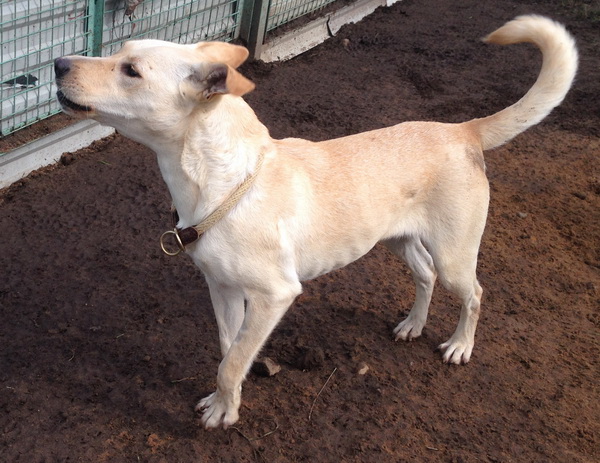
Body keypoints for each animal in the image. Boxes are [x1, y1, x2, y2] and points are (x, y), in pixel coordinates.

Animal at [54, 15, 577, 428]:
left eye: (131, 70)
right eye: (119, 52)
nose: (57, 63)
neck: (224, 183)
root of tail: (463, 130)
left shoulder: (275, 295)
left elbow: (232, 362)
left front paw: (223, 413)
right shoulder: (221, 288)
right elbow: (228, 349)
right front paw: (228, 399)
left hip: (455, 254)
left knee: (474, 294)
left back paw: (459, 346)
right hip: (397, 240)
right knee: (424, 276)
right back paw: (412, 324)